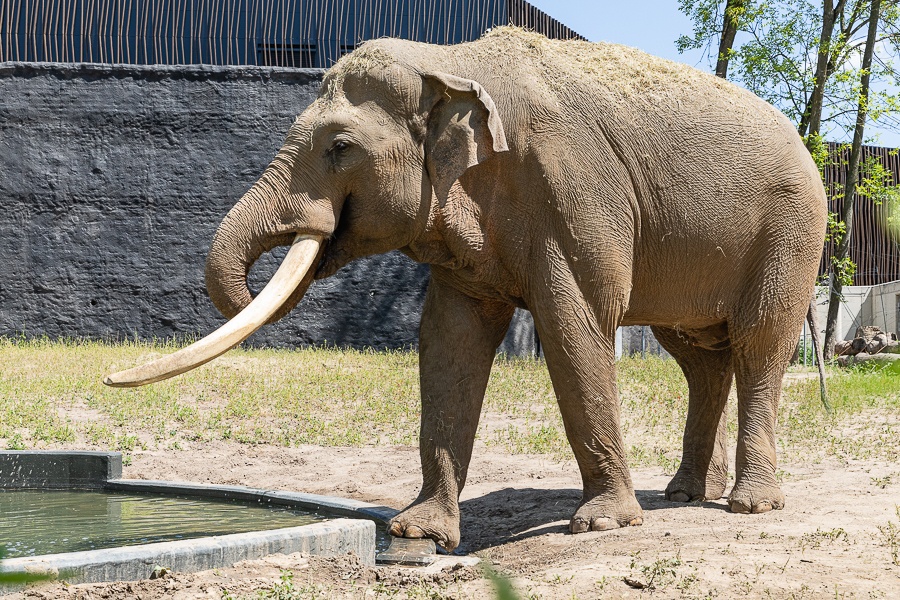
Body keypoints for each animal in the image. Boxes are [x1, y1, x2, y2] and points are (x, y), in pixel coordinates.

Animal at [107, 28, 828, 552]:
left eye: (339, 146)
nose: (110, 381)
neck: (452, 63)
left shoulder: (575, 194)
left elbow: (575, 328)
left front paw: (602, 524)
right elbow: (449, 339)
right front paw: (417, 531)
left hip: (791, 232)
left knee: (759, 344)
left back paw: (748, 503)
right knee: (699, 357)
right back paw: (684, 493)